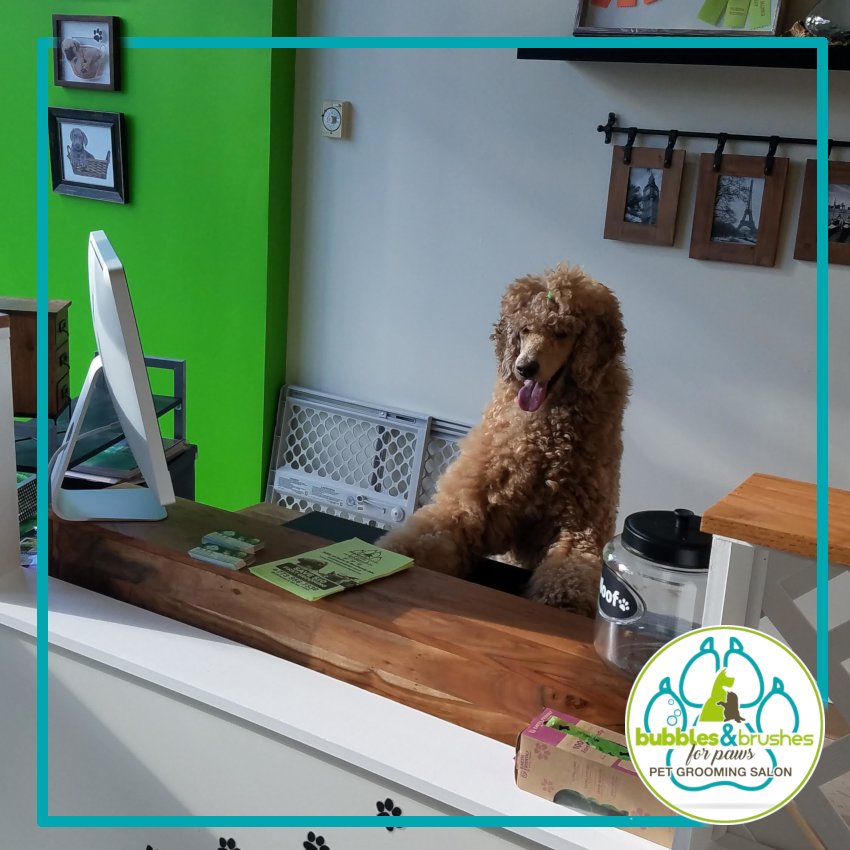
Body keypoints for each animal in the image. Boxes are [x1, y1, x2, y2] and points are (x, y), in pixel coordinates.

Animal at [379, 265, 629, 616]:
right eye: (524, 330)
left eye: (562, 332)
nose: (525, 368)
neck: (545, 441)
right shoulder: (468, 505)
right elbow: (426, 535)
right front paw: (394, 554)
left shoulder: (581, 528)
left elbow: (572, 570)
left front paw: (563, 602)